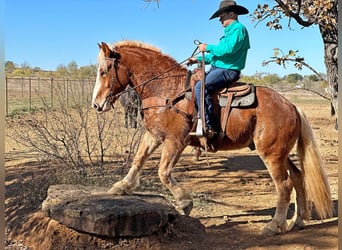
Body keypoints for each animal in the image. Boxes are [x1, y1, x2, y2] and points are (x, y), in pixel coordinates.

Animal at [92, 40, 332, 235]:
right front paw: (121, 187)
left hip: (271, 155)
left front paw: (185, 202)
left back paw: (274, 225)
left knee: (284, 185)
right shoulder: (154, 135)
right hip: (281, 153)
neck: (166, 90)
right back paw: (296, 221)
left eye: (104, 71)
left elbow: (163, 172)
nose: (96, 104)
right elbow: (138, 160)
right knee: (298, 177)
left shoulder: (175, 141)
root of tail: (291, 105)